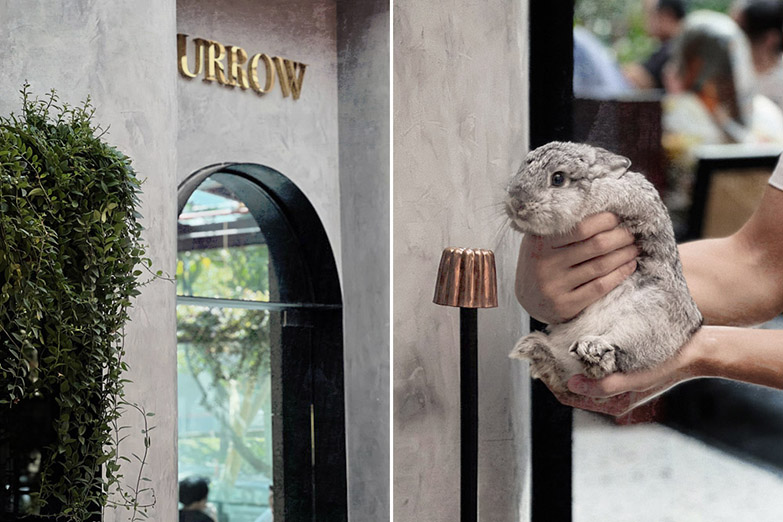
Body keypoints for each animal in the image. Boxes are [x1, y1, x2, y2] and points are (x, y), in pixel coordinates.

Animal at [505, 141, 702, 393]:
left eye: (558, 179)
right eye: (524, 166)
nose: (516, 203)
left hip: (650, 319)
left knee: (617, 357)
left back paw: (592, 350)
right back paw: (537, 350)